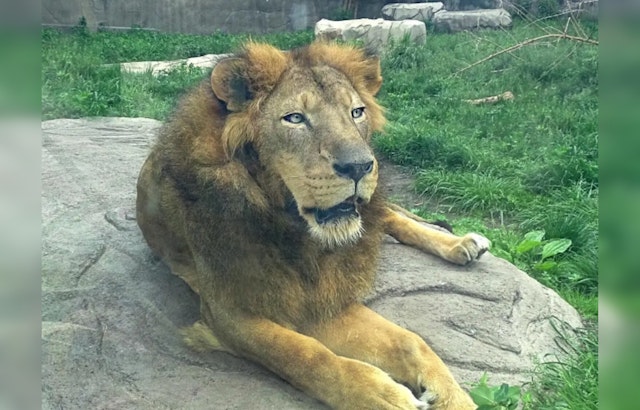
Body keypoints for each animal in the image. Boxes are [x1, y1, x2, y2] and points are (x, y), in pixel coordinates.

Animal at [136, 41, 490, 410]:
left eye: (357, 112)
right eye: (295, 118)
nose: (359, 166)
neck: (297, 231)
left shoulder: (323, 293)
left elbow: (410, 341)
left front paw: (454, 397)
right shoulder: (228, 310)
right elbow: (303, 354)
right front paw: (382, 396)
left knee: (391, 218)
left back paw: (462, 244)